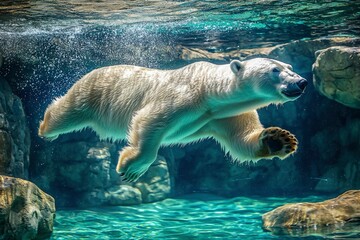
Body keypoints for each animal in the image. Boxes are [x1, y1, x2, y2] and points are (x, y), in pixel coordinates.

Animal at [38, 58, 306, 182]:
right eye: (275, 69)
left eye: (289, 66)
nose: (302, 82)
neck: (209, 90)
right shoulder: (183, 97)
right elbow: (148, 120)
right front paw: (130, 167)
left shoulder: (224, 114)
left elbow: (240, 139)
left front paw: (279, 140)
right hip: (92, 92)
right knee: (67, 112)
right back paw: (45, 127)